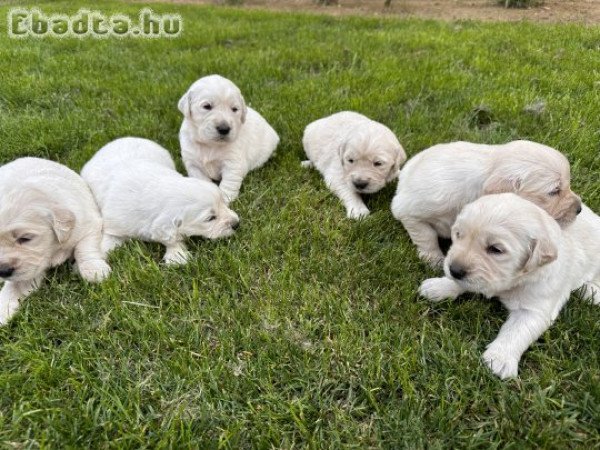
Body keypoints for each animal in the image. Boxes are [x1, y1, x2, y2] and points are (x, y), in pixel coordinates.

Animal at [0, 157, 110, 324]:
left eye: (25, 238)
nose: (3, 271)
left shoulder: (89, 223)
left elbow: (84, 247)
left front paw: (94, 270)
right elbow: (15, 285)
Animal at [81, 137, 240, 264]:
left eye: (223, 203)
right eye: (210, 218)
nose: (237, 224)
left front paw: (177, 256)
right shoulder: (114, 223)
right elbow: (108, 240)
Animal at [178, 74, 282, 202]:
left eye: (234, 109)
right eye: (207, 106)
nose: (224, 129)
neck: (210, 144)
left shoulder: (233, 163)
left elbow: (229, 183)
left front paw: (224, 199)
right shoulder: (193, 164)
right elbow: (201, 180)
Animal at [418, 193, 600, 380]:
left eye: (496, 249)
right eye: (458, 234)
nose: (454, 270)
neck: (515, 280)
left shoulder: (535, 309)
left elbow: (517, 332)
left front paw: (500, 359)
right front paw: (439, 286)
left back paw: (592, 292)